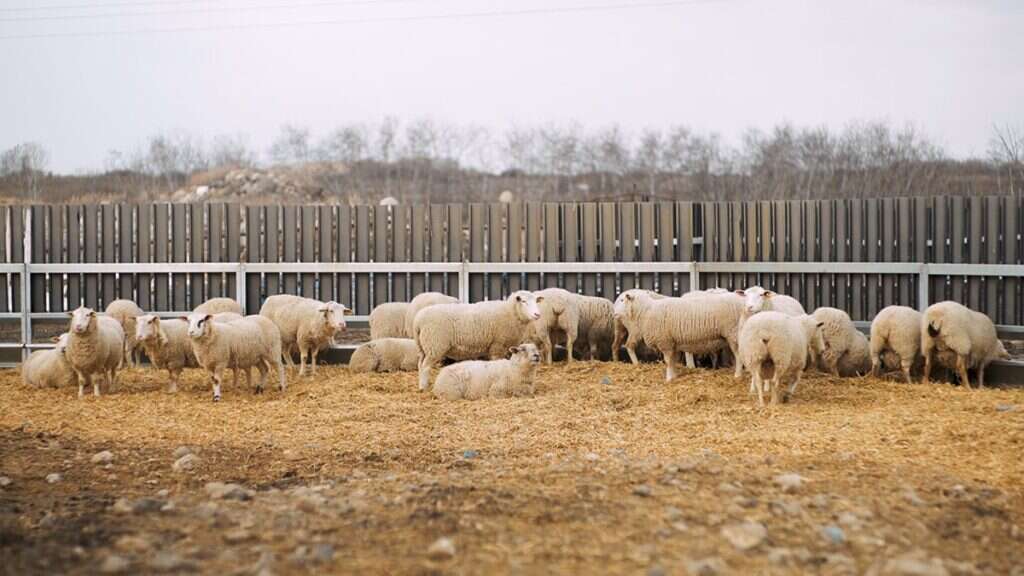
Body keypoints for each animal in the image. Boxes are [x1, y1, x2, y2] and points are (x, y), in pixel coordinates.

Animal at [413, 290, 544, 392]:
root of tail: (418, 321)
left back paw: (421, 384)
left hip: (423, 347)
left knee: (420, 364)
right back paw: (423, 387)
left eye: (536, 301)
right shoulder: (498, 345)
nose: (537, 314)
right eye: (524, 301)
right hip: (434, 345)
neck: (511, 313)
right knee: (425, 366)